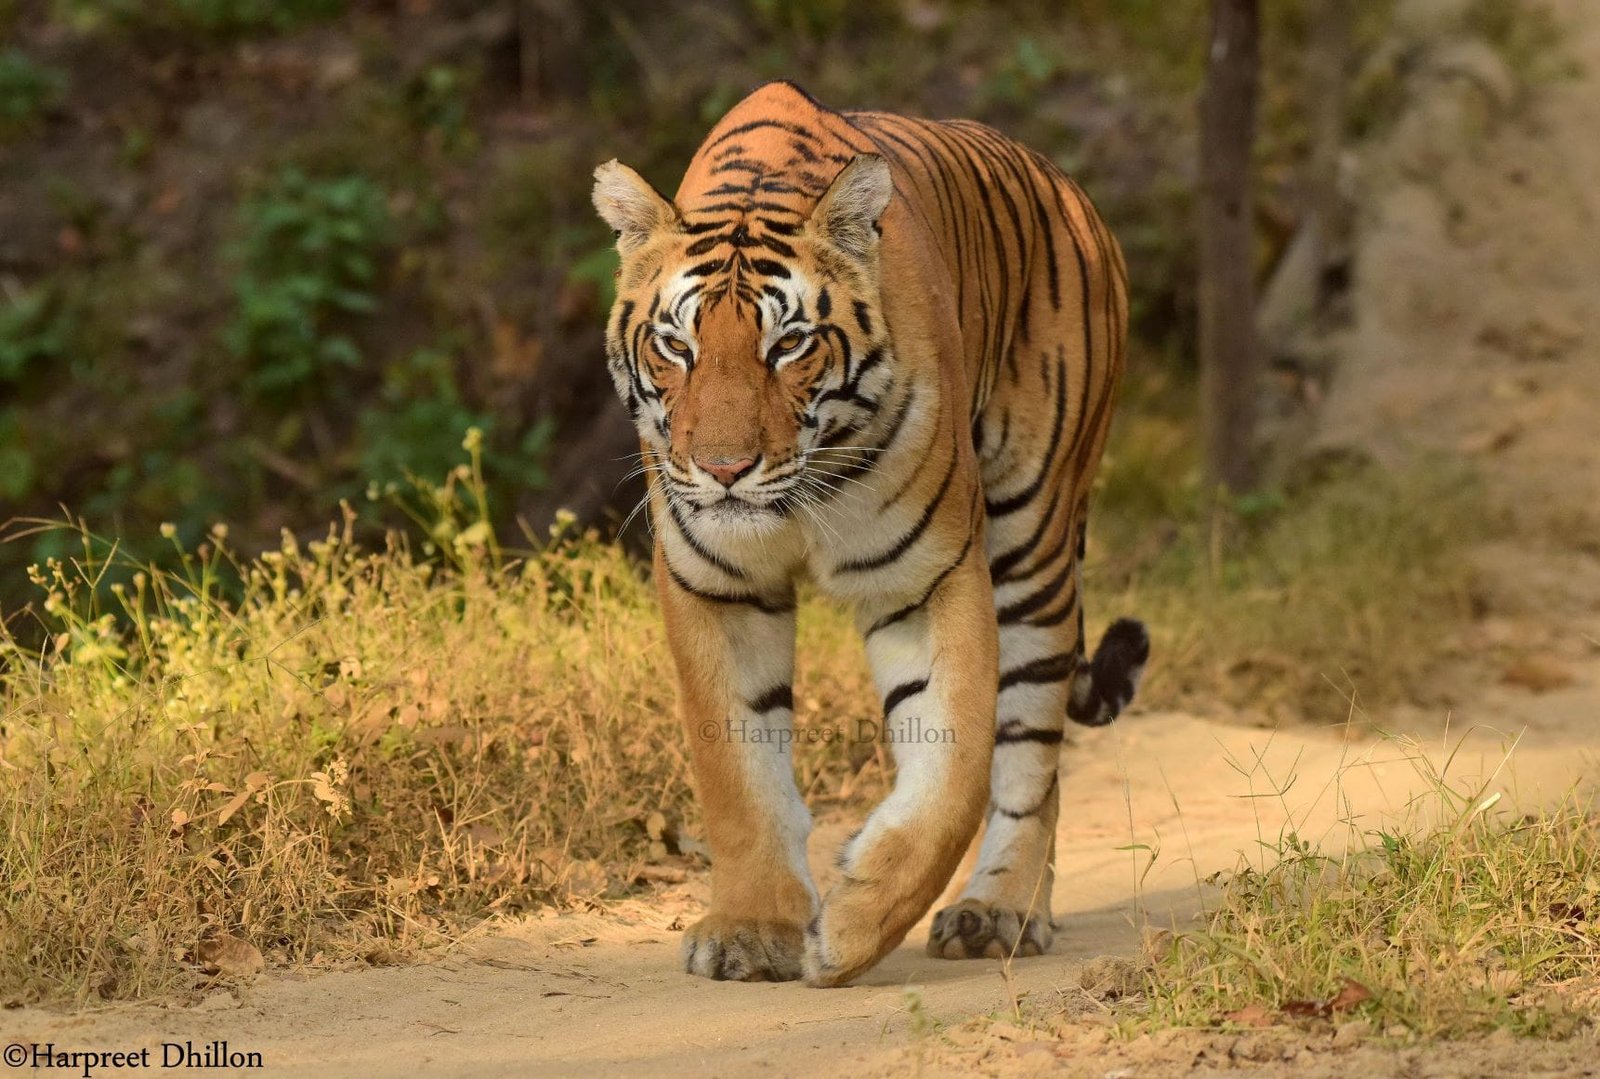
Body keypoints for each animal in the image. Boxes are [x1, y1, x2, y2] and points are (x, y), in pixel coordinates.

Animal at [591, 80, 1148, 988]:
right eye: (676, 344)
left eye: (788, 345)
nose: (722, 468)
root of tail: (1068, 187)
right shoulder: (717, 585)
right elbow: (735, 769)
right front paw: (752, 929)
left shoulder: (927, 577)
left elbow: (954, 771)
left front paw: (852, 926)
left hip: (1035, 538)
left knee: (1032, 748)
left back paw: (998, 910)